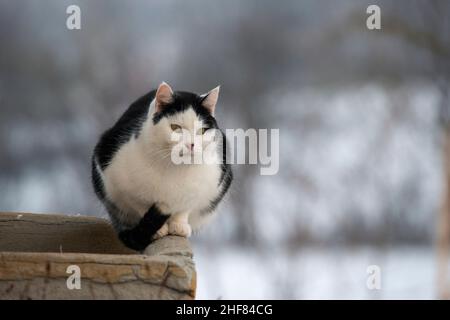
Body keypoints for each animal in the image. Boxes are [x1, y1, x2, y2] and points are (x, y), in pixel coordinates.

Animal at [91, 81, 232, 251]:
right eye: (175, 127)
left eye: (202, 130)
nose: (191, 145)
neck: (174, 169)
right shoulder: (120, 186)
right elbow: (141, 205)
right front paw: (158, 230)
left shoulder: (208, 183)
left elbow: (185, 207)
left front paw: (179, 226)